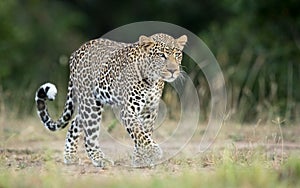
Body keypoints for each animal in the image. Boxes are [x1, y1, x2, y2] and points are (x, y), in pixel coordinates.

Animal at [34, 32, 186, 167]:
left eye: (177, 54)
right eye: (161, 55)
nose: (173, 70)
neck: (153, 80)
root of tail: (75, 53)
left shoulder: (149, 110)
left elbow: (144, 133)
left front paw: (140, 159)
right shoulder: (128, 110)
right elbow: (139, 133)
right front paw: (153, 152)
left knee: (75, 122)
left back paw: (70, 156)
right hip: (91, 104)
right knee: (89, 135)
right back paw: (100, 159)